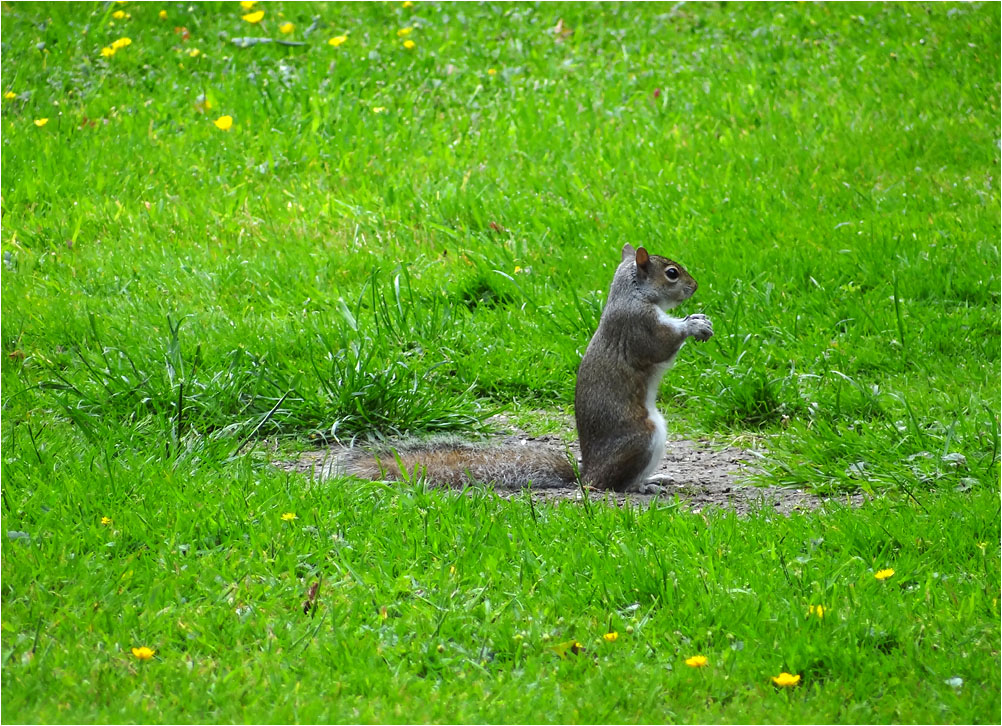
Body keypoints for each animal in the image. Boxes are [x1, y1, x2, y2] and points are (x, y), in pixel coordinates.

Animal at [338, 243, 713, 492]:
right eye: (672, 273)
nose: (696, 286)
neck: (631, 294)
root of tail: (586, 475)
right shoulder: (638, 327)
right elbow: (661, 344)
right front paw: (693, 325)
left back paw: (655, 477)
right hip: (643, 435)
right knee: (611, 486)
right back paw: (642, 485)